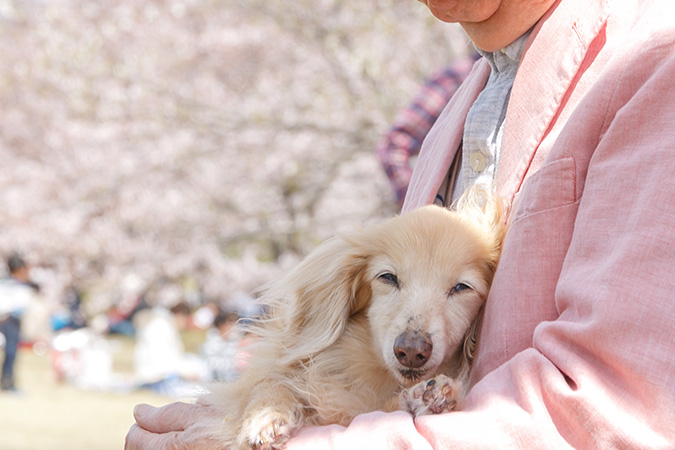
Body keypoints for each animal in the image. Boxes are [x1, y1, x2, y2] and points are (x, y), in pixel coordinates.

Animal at [198, 191, 504, 450]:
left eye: (462, 287)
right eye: (388, 277)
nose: (411, 350)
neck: (380, 379)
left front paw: (425, 398)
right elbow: (269, 385)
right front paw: (265, 416)